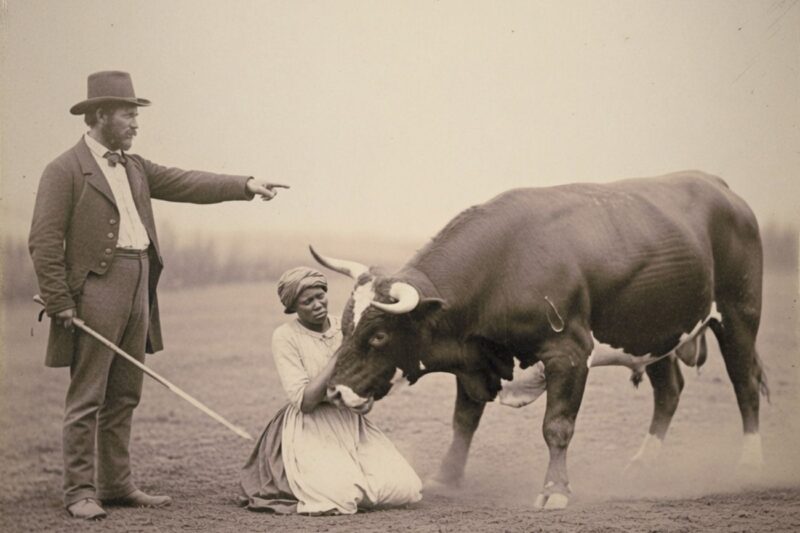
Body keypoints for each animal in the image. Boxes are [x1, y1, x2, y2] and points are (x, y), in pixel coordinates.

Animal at [311, 171, 768, 509]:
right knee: (669, 391)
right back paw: (642, 464)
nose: (333, 391)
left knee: (744, 385)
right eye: (346, 326)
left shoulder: (569, 356)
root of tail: (717, 184)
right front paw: (446, 478)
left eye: (379, 335)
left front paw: (555, 491)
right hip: (655, 334)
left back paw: (750, 464)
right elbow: (464, 421)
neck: (505, 265)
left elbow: (557, 427)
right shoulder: (475, 358)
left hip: (739, 315)